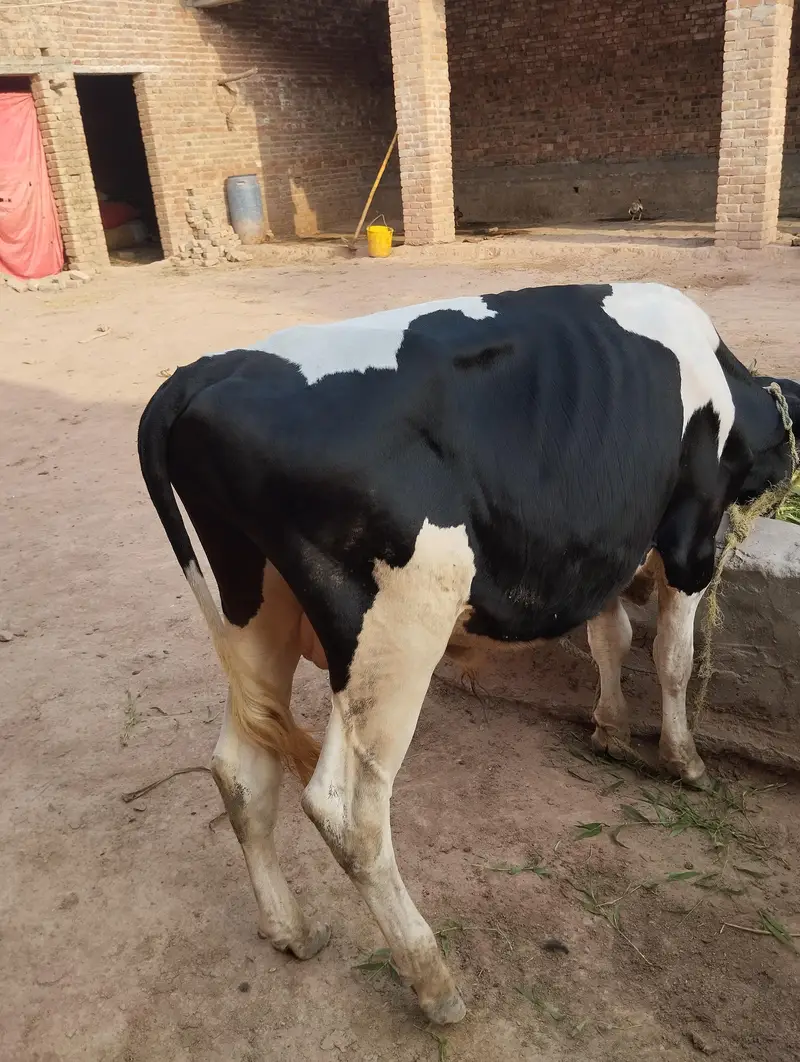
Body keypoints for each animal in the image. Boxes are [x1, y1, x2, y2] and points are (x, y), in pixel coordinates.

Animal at [138, 282, 799, 1025]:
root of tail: (207, 371)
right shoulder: (689, 538)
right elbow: (672, 658)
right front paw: (684, 761)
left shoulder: (596, 544)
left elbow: (610, 638)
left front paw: (610, 730)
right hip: (397, 632)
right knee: (348, 811)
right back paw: (433, 980)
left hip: (253, 606)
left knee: (241, 772)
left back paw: (292, 930)